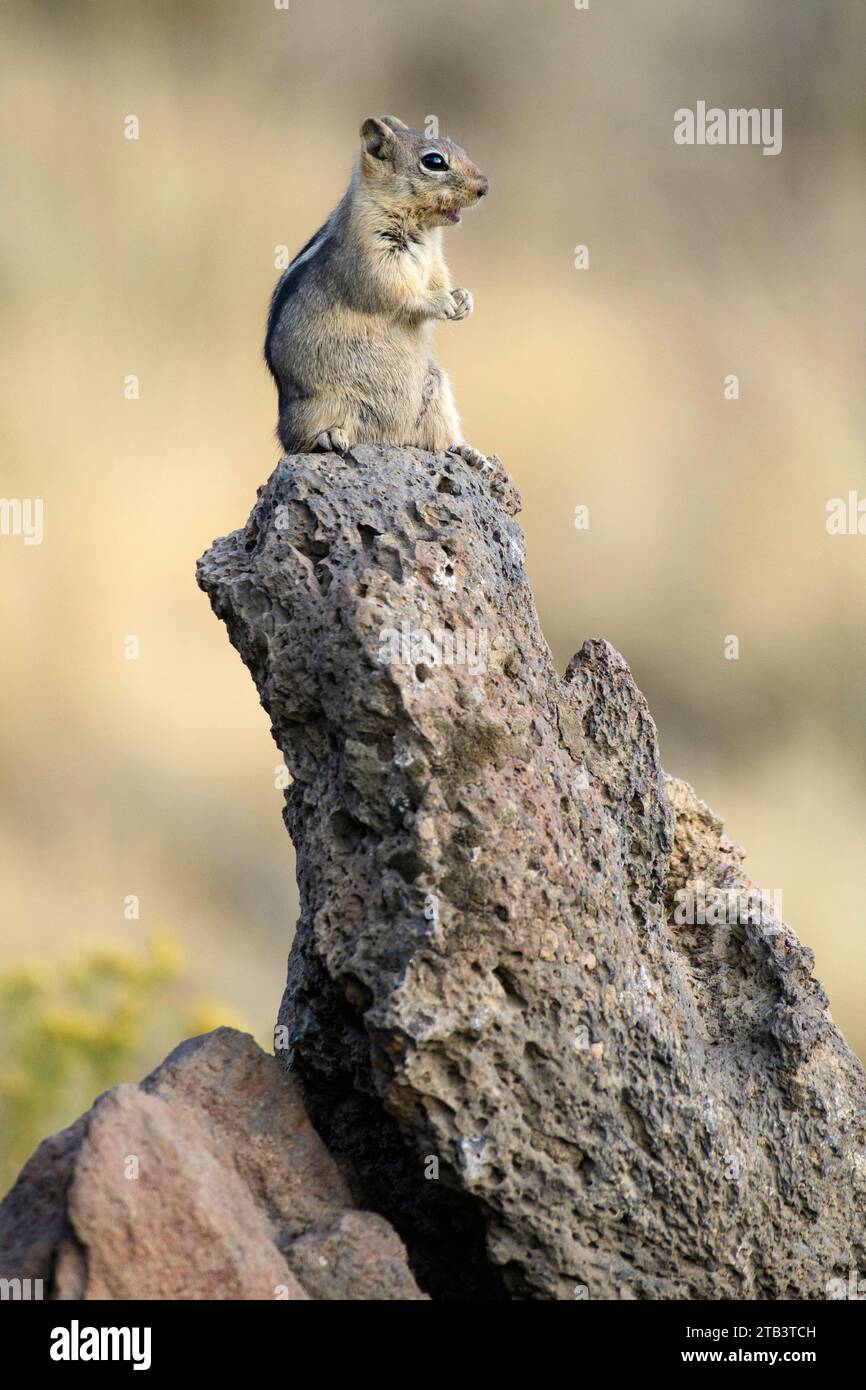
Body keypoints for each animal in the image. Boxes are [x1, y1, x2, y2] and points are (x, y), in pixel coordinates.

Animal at [264, 112, 492, 467]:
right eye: (434, 161)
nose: (484, 187)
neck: (422, 229)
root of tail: (393, 438)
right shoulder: (374, 255)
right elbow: (398, 291)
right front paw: (441, 302)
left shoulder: (435, 261)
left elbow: (439, 279)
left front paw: (463, 300)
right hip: (318, 408)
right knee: (301, 441)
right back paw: (330, 437)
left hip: (437, 392)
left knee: (438, 437)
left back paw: (468, 452)